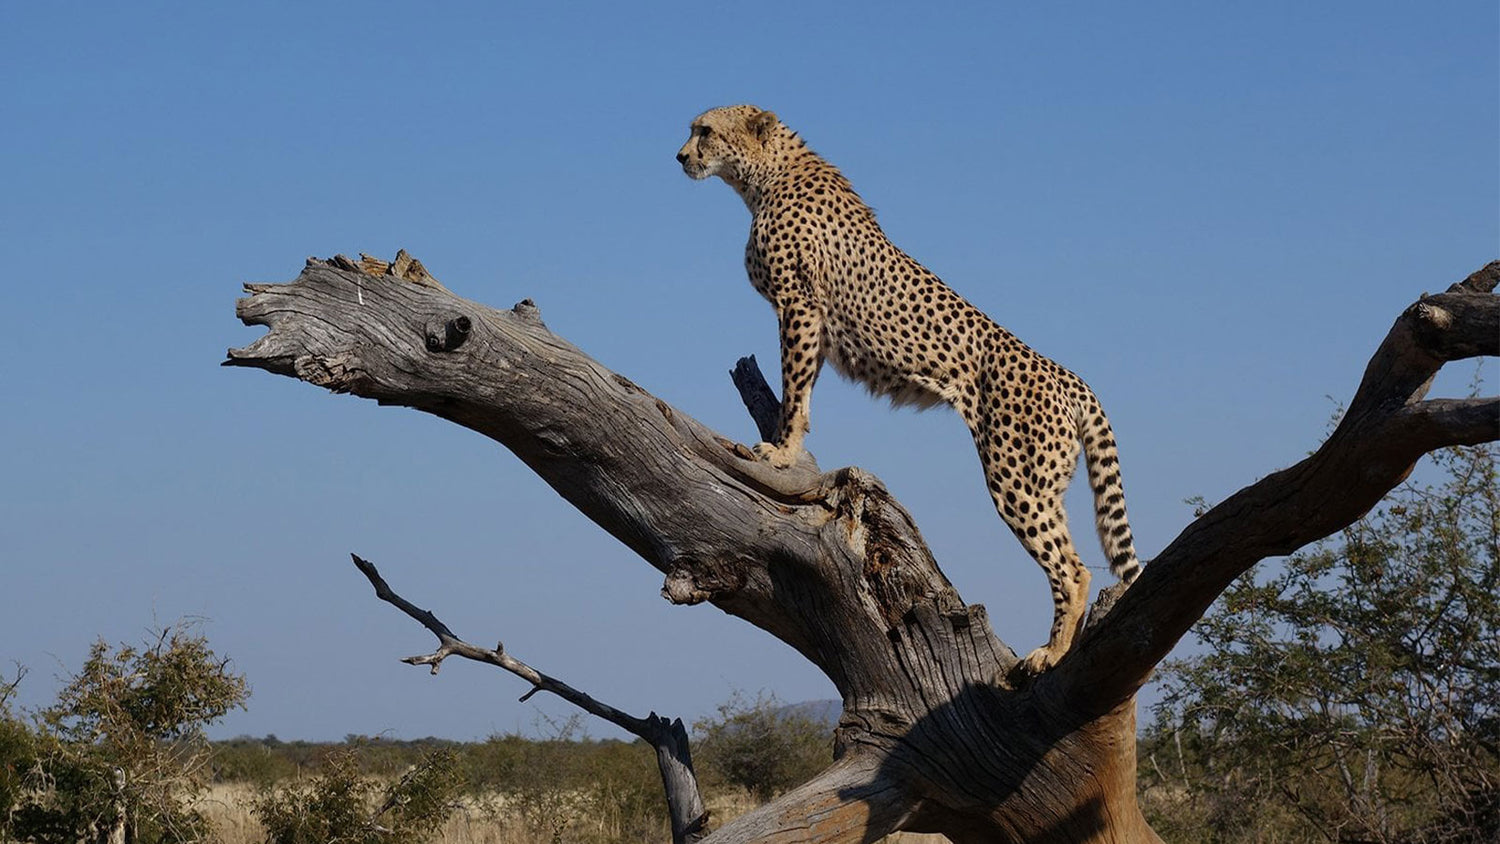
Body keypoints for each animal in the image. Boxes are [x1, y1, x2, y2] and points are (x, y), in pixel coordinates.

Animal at [677, 105, 1144, 674]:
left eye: (705, 131)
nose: (680, 155)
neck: (764, 177)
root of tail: (1070, 377)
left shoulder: (800, 307)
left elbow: (794, 386)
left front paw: (781, 453)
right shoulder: (812, 319)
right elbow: (803, 392)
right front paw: (790, 444)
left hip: (1017, 478)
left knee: (1073, 569)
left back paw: (1050, 653)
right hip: (1046, 481)